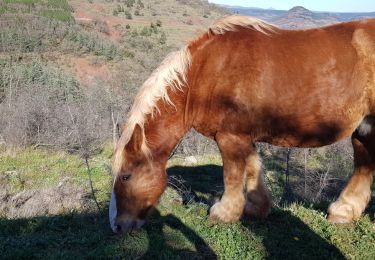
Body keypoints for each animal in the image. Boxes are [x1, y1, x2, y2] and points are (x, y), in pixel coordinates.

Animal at [108, 15, 375, 233]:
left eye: (126, 176)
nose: (117, 226)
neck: (205, 73)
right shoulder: (244, 136)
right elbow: (253, 169)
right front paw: (256, 209)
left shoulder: (230, 137)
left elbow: (233, 174)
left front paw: (224, 213)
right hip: (364, 128)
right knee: (364, 165)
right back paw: (344, 211)